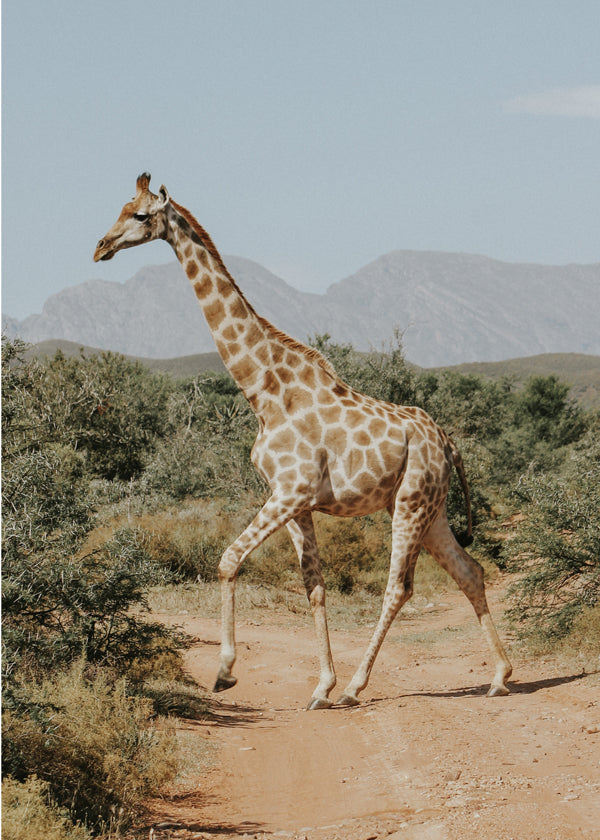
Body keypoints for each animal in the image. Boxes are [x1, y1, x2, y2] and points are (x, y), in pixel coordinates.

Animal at [94, 174, 513, 709]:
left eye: (142, 215)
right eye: (120, 208)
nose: (101, 247)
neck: (264, 391)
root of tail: (446, 442)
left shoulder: (290, 492)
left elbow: (228, 560)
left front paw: (226, 672)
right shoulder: (295, 502)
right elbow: (314, 586)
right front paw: (320, 686)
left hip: (411, 502)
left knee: (399, 587)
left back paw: (357, 687)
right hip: (431, 508)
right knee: (470, 571)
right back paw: (500, 675)